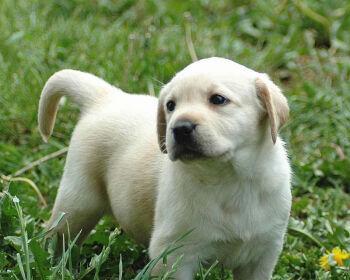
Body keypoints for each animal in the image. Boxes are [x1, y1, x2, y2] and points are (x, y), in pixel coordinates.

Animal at [38, 57, 292, 280]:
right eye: (171, 105)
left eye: (218, 99)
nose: (180, 128)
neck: (229, 177)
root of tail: (107, 97)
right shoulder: (174, 254)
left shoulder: (262, 253)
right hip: (78, 202)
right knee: (58, 236)